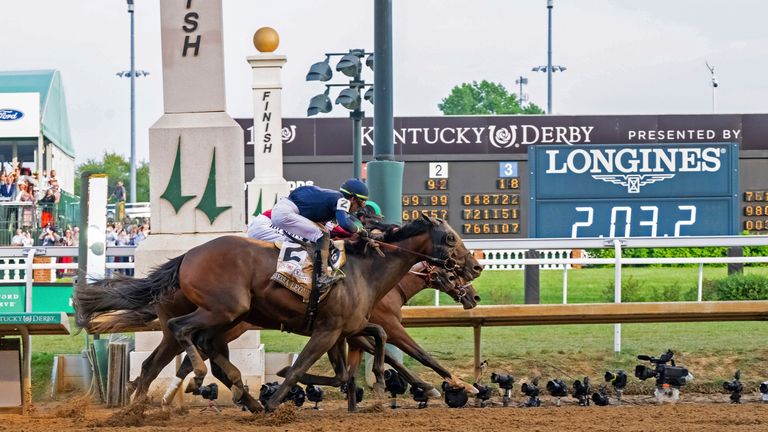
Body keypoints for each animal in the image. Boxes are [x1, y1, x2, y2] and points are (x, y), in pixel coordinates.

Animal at [75, 216, 476, 412]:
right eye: (451, 239)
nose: (474, 271)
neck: (367, 270)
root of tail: (186, 255)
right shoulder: (337, 329)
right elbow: (306, 367)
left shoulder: (348, 328)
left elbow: (362, 355)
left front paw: (370, 387)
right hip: (226, 311)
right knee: (187, 340)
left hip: (220, 321)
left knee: (165, 359)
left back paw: (145, 403)